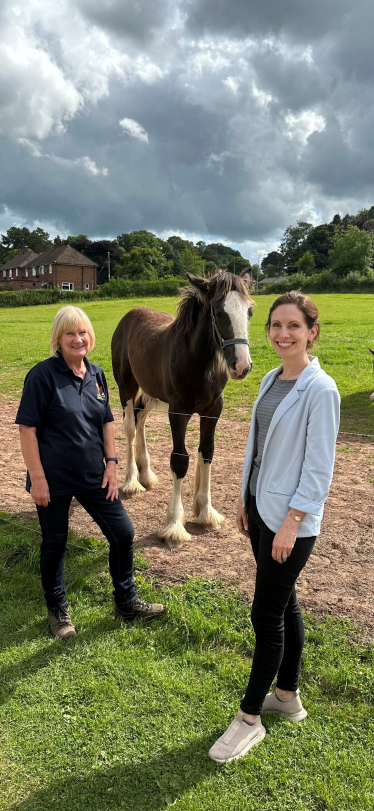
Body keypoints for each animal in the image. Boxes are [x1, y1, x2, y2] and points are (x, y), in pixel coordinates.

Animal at [109, 272, 253, 544]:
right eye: (219, 311)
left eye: (249, 311)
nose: (241, 366)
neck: (199, 361)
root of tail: (128, 316)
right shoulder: (178, 412)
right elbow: (180, 460)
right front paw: (175, 524)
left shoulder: (213, 410)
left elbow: (207, 452)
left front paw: (206, 512)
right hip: (127, 388)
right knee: (130, 427)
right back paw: (132, 481)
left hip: (153, 393)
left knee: (140, 418)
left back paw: (146, 474)